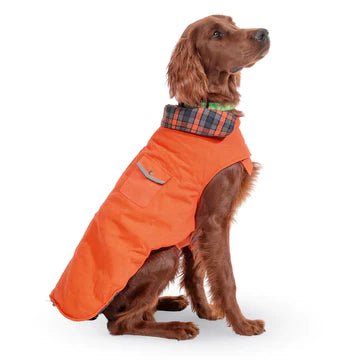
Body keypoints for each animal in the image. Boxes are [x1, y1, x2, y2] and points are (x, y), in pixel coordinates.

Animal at [50, 14, 270, 340]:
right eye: (217, 34)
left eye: (233, 22)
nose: (264, 33)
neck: (206, 111)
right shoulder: (214, 220)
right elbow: (226, 277)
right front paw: (243, 325)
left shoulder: (194, 228)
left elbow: (195, 274)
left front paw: (206, 311)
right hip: (165, 255)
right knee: (120, 323)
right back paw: (177, 328)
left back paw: (171, 303)